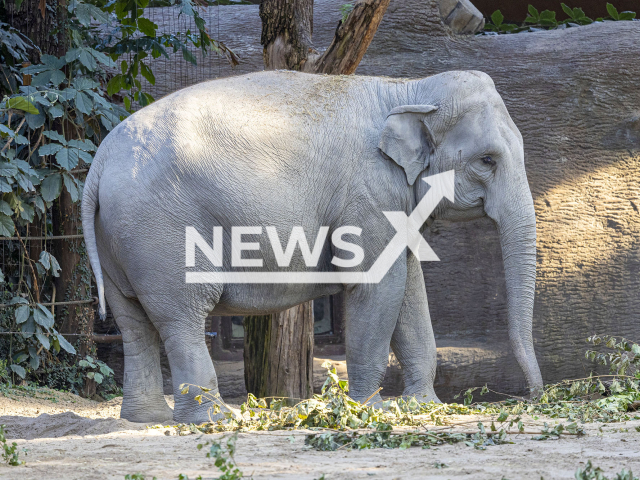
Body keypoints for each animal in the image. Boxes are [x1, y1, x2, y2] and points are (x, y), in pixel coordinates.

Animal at [79, 69, 540, 422]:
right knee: (182, 317)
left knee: (133, 320)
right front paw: (368, 411)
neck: (408, 88)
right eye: (487, 161)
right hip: (160, 233)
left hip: (119, 236)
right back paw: (215, 419)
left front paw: (425, 407)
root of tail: (99, 162)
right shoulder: (369, 195)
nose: (535, 397)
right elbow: (379, 288)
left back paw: (145, 419)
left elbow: (410, 290)